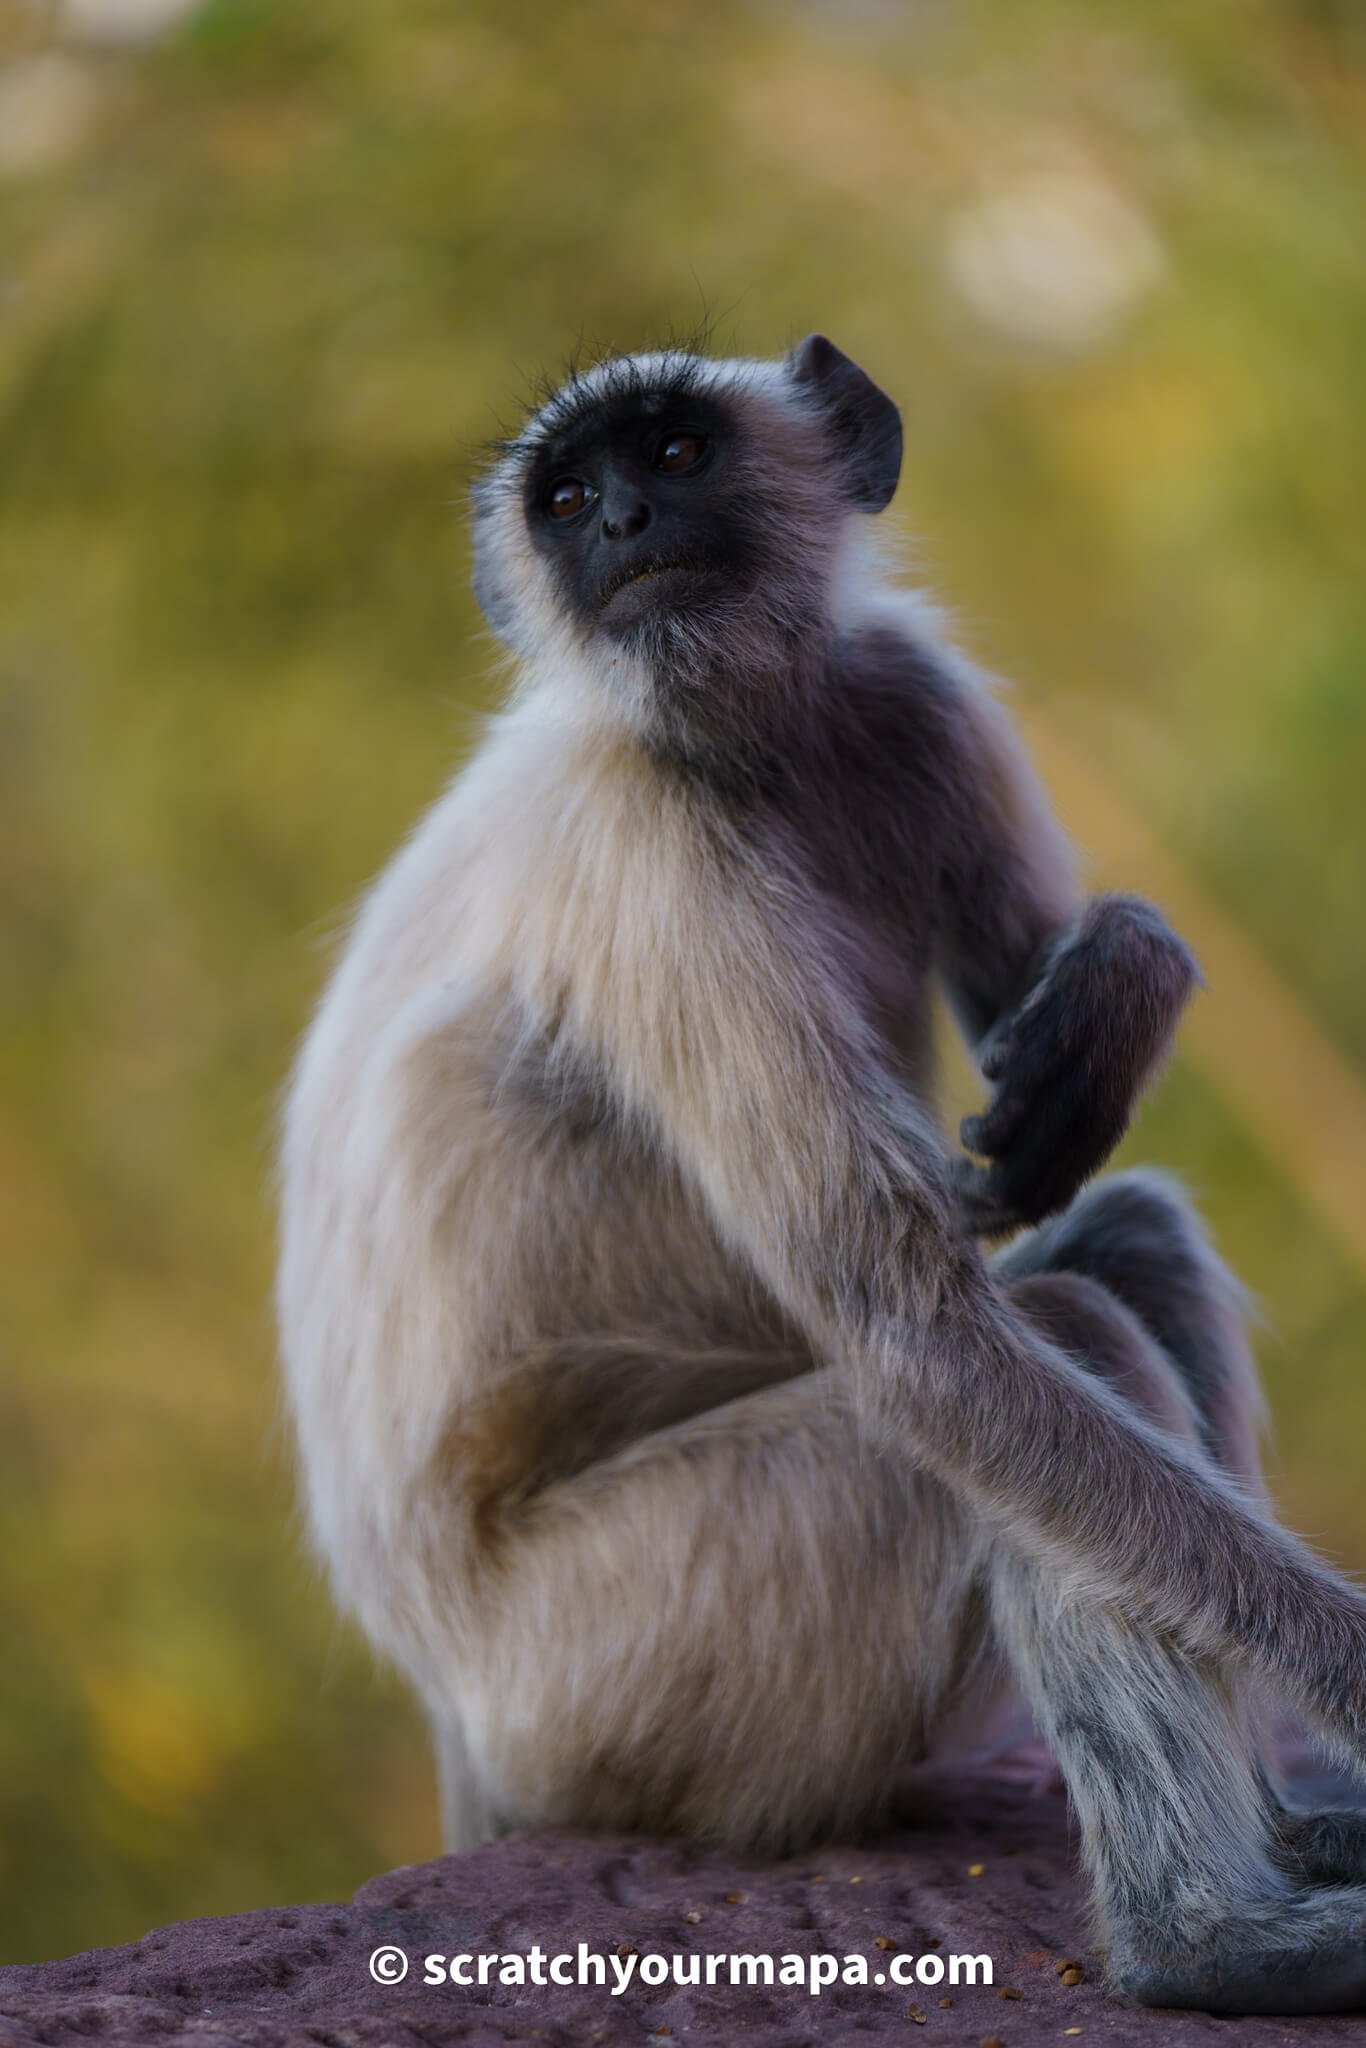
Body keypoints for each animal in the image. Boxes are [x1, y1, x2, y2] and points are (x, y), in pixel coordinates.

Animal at [278, 335, 1366, 2015]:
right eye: (568, 497)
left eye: (673, 451)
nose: (622, 526)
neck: (744, 741)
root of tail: (467, 1736)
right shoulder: (650, 860)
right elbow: (917, 1338)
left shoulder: (906, 694)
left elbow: (1025, 1034)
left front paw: (1118, 983)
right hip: (634, 1659)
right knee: (1045, 1341)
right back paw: (1210, 1947)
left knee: (1125, 1239)